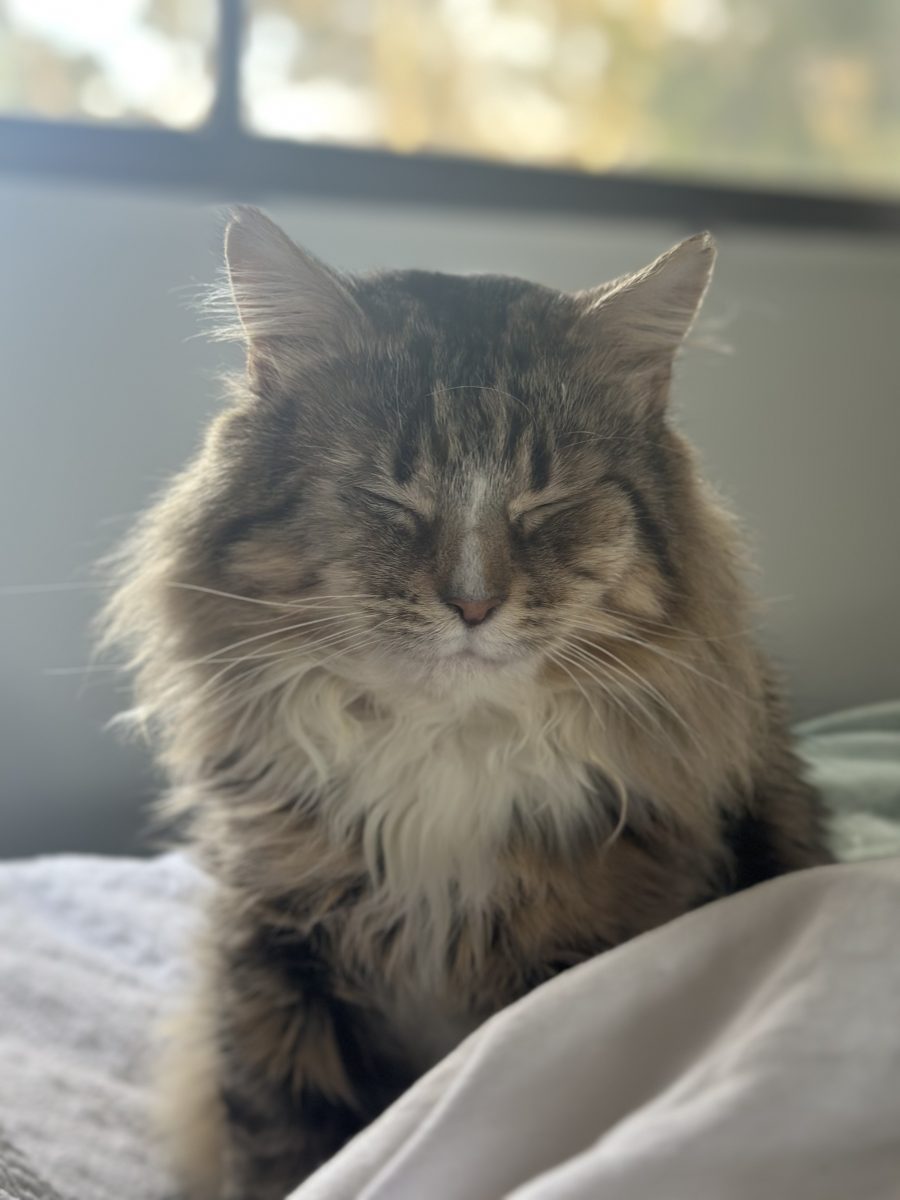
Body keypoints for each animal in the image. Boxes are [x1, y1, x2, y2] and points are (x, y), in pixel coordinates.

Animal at [102, 211, 835, 1195]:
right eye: (387, 495)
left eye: (548, 501)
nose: (475, 603)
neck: (440, 756)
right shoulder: (272, 958)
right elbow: (284, 1147)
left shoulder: (573, 954)